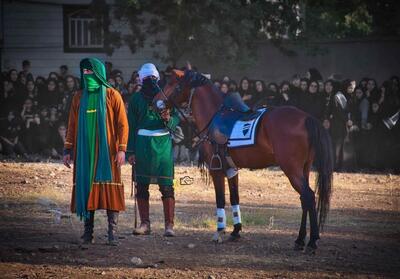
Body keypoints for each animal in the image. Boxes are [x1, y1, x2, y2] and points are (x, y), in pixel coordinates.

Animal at [156, 69, 334, 254]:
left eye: (173, 84)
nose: (156, 102)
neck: (214, 116)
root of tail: (307, 118)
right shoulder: (232, 169)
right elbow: (235, 198)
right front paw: (236, 231)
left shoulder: (216, 169)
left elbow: (221, 199)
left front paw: (219, 232)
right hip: (304, 169)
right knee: (304, 199)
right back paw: (299, 240)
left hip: (292, 169)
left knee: (308, 196)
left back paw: (312, 241)